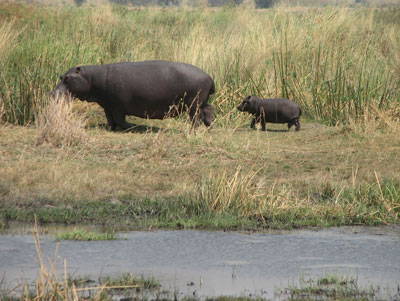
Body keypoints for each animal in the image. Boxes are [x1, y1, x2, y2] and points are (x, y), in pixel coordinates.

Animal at [52, 60, 216, 130]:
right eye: (60, 76)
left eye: (68, 78)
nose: (53, 93)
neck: (91, 78)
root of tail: (209, 76)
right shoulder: (107, 105)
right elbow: (110, 119)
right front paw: (110, 128)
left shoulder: (117, 106)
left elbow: (120, 120)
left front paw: (132, 126)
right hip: (201, 101)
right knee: (208, 109)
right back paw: (209, 125)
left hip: (193, 103)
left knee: (195, 118)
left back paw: (193, 130)